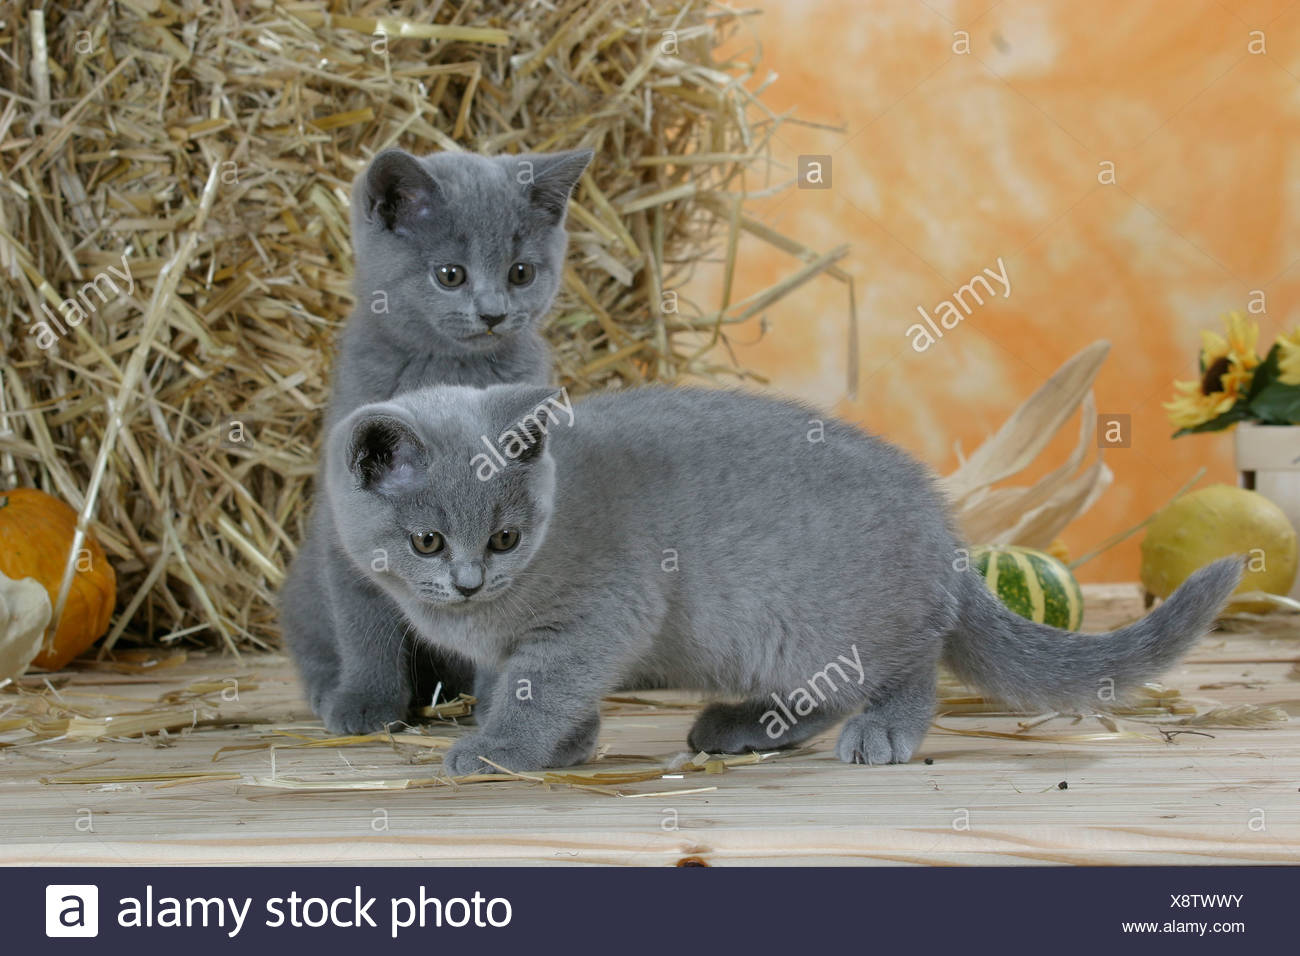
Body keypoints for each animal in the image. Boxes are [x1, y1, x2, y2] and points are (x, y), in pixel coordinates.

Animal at [284, 147, 595, 733]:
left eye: (522, 272)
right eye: (451, 274)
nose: (494, 312)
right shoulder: (349, 521)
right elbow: (365, 621)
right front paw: (366, 703)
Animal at [319, 382, 1242, 770]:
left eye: (507, 536)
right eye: (429, 541)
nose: (471, 581)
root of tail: (942, 528)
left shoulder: (598, 616)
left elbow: (537, 688)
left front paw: (500, 751)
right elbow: (547, 691)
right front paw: (569, 748)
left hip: (834, 622)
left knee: (908, 673)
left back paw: (883, 735)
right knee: (821, 696)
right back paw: (741, 726)